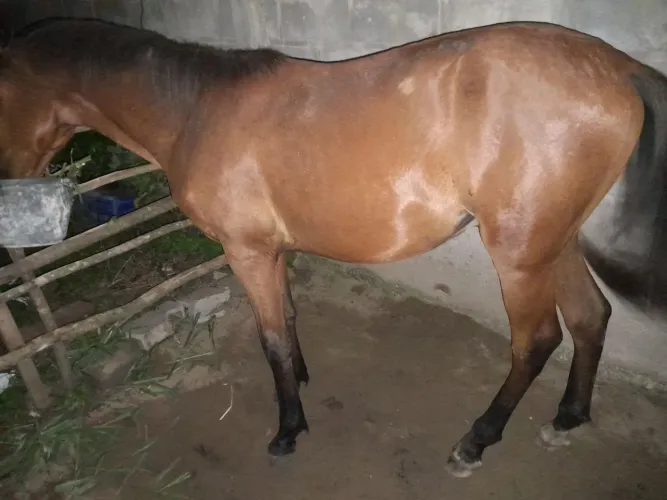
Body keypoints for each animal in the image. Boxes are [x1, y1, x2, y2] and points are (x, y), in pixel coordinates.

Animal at [0, 18, 665, 479]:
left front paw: (288, 429)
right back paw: (568, 417)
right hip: (556, 241)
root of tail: (616, 66)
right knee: (591, 317)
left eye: (2, 98)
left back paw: (475, 441)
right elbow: (288, 319)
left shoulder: (246, 252)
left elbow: (269, 336)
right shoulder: (273, 251)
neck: (196, 112)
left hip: (520, 255)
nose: (10, 179)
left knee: (538, 341)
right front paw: (301, 376)